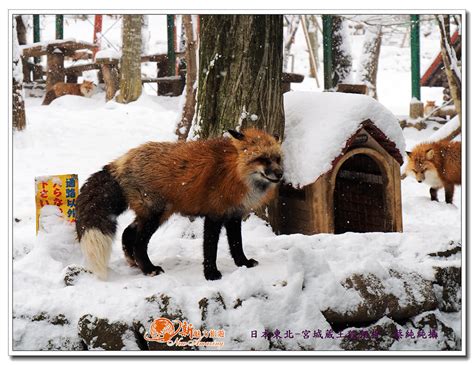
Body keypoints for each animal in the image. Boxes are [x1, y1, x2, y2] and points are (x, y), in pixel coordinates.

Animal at [76, 129, 284, 280]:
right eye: (262, 159)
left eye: (278, 159)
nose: (280, 174)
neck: (234, 172)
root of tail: (121, 161)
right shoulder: (215, 214)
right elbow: (210, 248)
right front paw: (211, 274)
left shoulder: (234, 215)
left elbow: (236, 245)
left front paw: (243, 264)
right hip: (156, 214)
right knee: (138, 242)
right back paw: (149, 269)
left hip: (153, 214)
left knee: (128, 232)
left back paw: (135, 263)